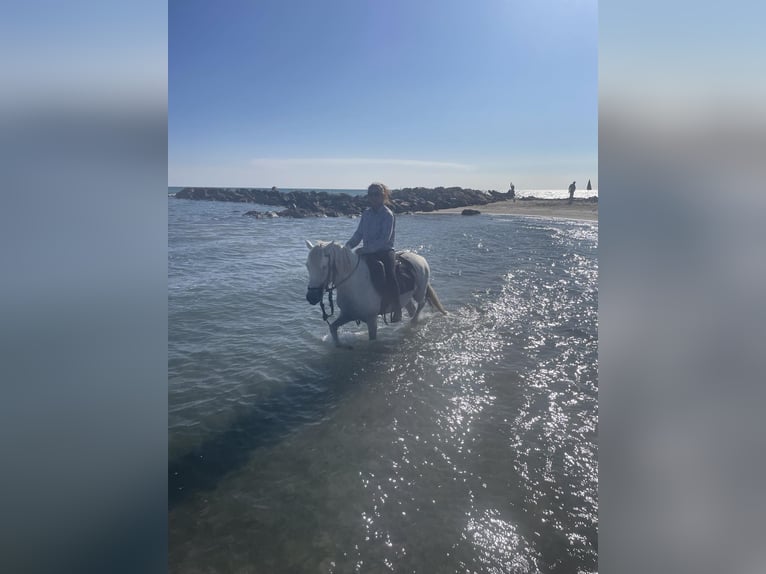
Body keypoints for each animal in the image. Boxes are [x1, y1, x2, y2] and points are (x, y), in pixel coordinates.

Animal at [306, 241, 450, 348]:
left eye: (324, 266)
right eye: (307, 265)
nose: (311, 297)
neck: (354, 283)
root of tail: (420, 258)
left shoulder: (371, 320)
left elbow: (372, 340)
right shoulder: (348, 315)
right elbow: (333, 328)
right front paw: (340, 346)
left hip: (419, 292)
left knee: (421, 304)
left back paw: (413, 322)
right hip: (406, 298)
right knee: (411, 308)